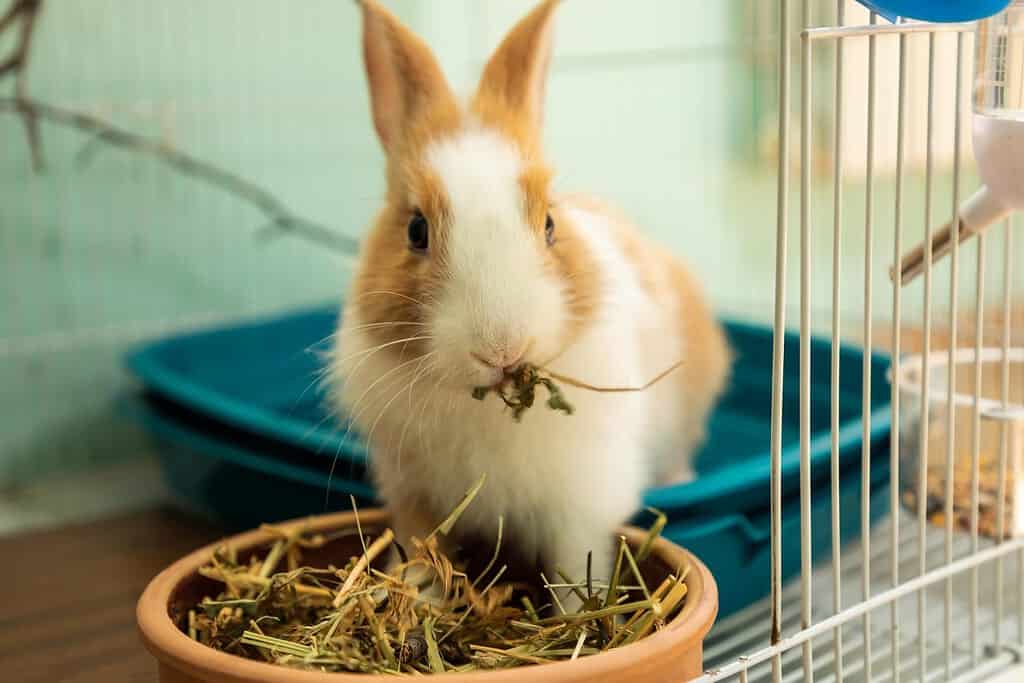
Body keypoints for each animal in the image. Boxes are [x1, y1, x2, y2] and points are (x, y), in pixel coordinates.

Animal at [329, 0, 729, 602]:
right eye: (417, 230)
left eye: (549, 224)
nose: (503, 349)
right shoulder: (415, 496)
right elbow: (424, 557)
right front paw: (420, 601)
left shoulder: (579, 505)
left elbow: (574, 571)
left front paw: (578, 614)